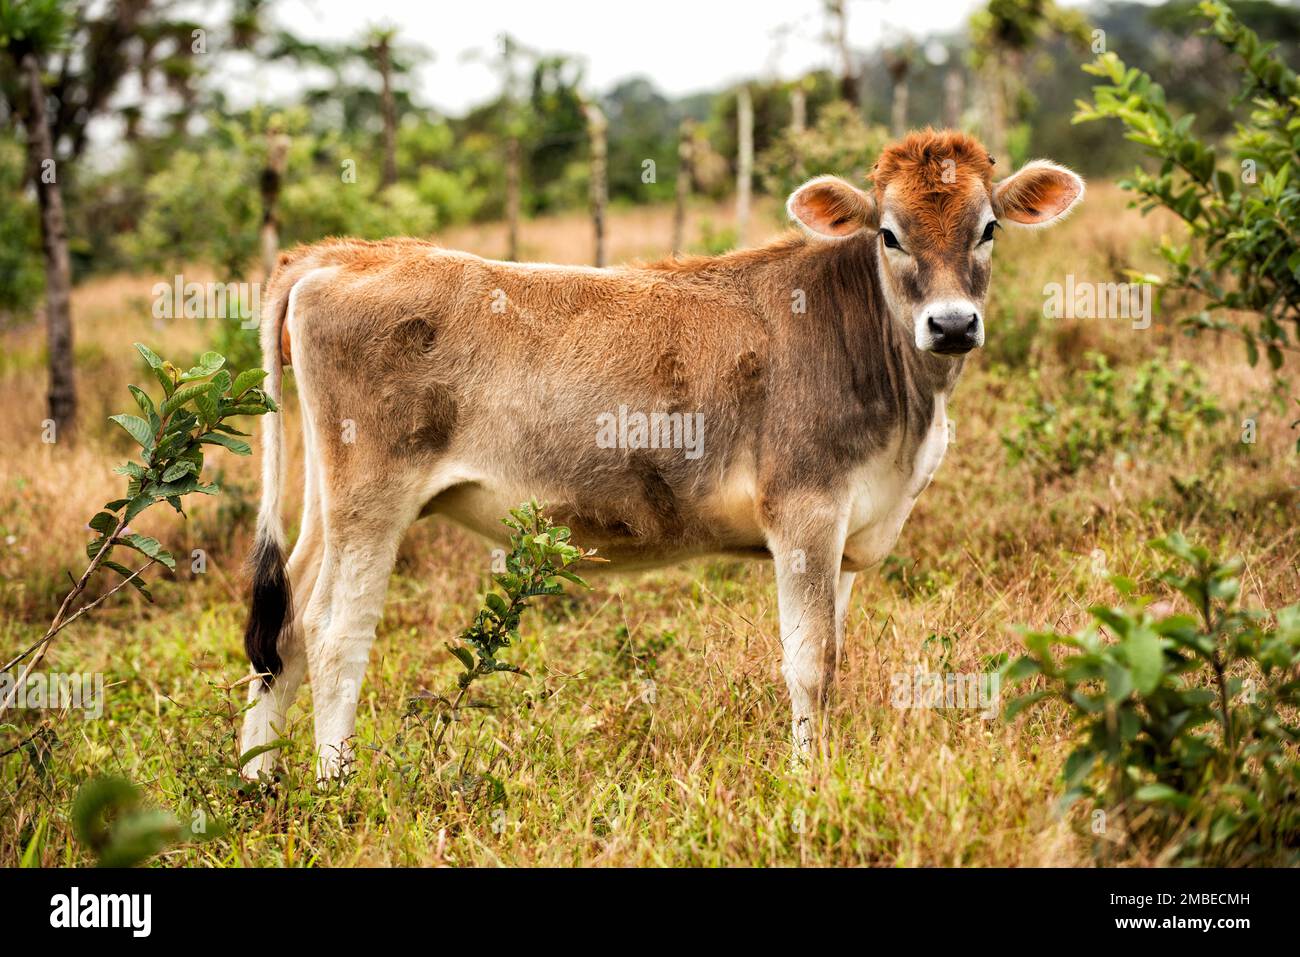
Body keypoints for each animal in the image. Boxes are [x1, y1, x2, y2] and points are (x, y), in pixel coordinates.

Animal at [238, 129, 1084, 779]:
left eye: (988, 229)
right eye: (889, 233)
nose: (952, 324)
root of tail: (344, 254)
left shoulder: (849, 531)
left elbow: (834, 658)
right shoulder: (805, 510)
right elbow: (810, 663)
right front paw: (809, 784)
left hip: (332, 501)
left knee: (282, 625)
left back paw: (258, 783)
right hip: (372, 494)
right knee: (335, 631)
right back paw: (337, 787)